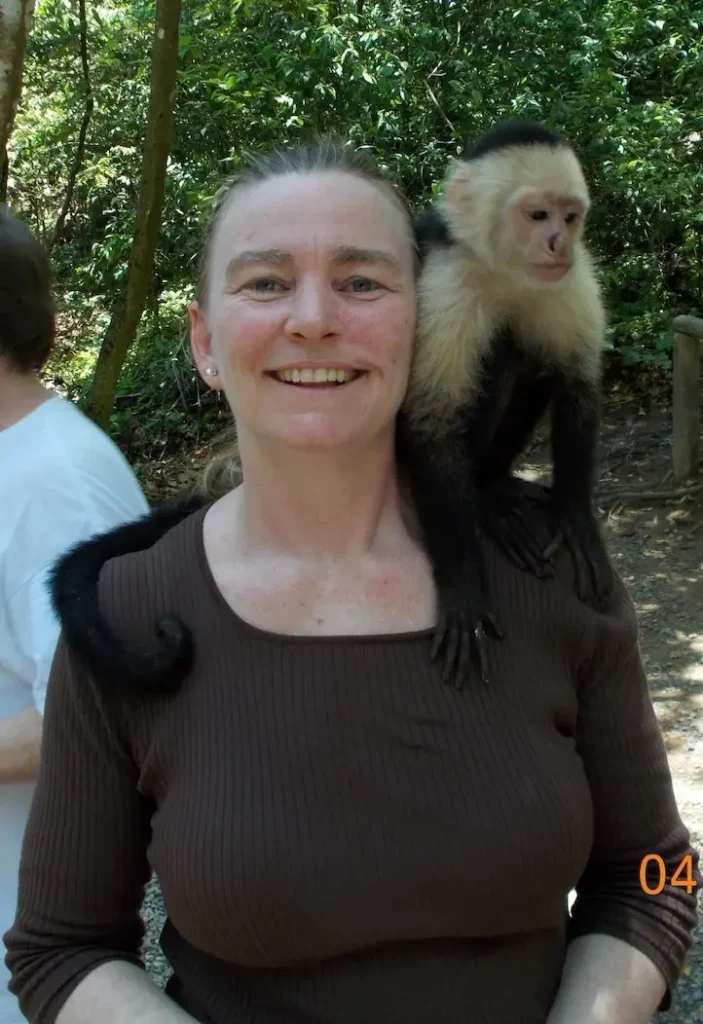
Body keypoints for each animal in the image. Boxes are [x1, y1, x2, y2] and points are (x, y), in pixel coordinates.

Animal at [396, 119, 613, 690]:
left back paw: (493, 485)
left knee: (535, 357)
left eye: (569, 216)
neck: (503, 273)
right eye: (537, 215)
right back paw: (481, 501)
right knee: (501, 351)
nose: (558, 242)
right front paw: (463, 586)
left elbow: (578, 380)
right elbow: (432, 421)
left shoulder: (570, 277)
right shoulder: (444, 281)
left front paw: (574, 517)